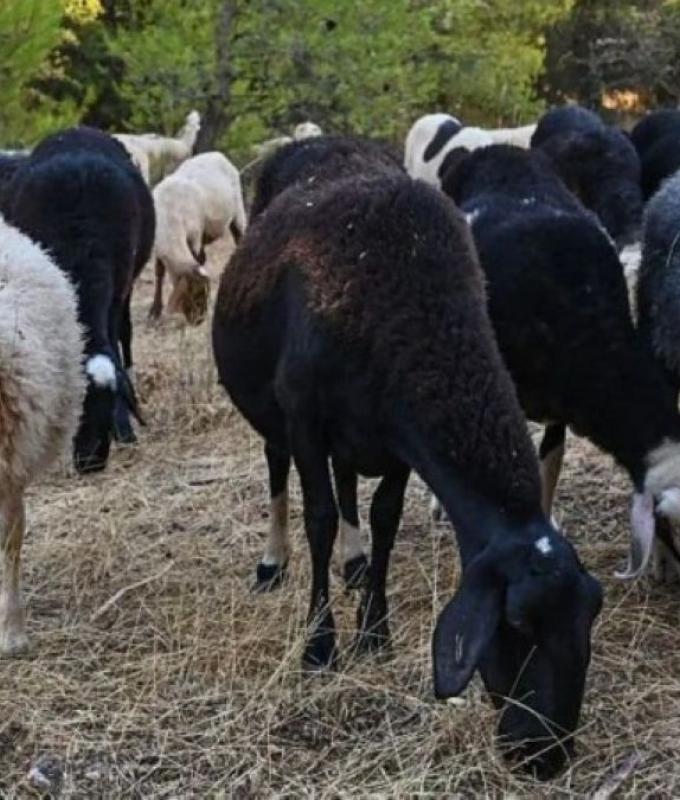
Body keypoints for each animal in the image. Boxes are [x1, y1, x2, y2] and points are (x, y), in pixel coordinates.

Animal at [4, 126, 155, 472]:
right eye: (77, 407)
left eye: (111, 401)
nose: (90, 463)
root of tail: (77, 129)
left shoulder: (117, 290)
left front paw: (125, 428)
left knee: (126, 335)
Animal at [150, 151, 247, 325]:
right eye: (195, 292)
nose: (199, 320)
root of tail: (216, 154)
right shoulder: (158, 245)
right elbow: (159, 273)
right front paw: (155, 310)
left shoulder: (195, 236)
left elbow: (196, 257)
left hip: (238, 212)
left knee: (239, 238)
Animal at [212, 170, 602, 779]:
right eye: (516, 624)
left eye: (590, 618)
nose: (546, 757)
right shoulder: (305, 419)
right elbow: (319, 519)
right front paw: (320, 647)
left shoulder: (396, 440)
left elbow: (385, 520)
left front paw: (375, 631)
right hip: (275, 418)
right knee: (280, 474)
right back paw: (273, 563)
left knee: (349, 488)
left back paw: (354, 567)